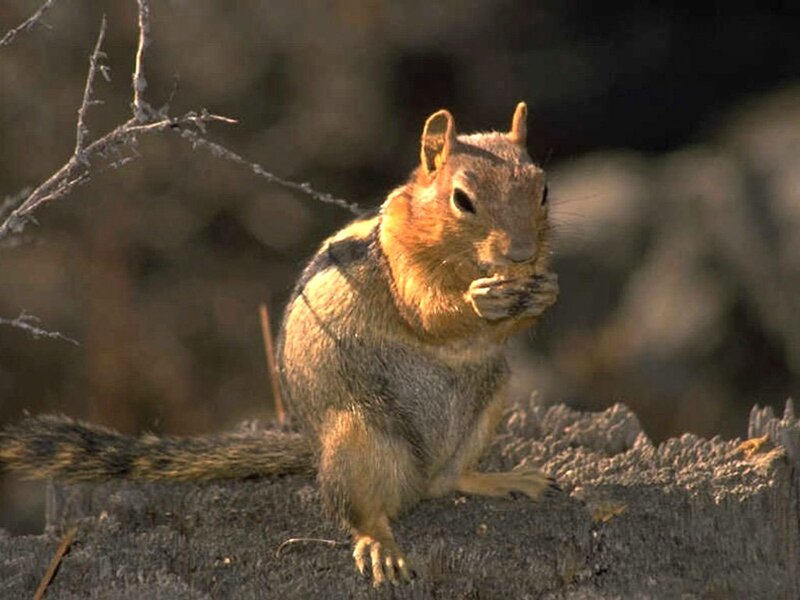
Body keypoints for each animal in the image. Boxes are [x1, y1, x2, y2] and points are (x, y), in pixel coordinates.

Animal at [0, 102, 559, 587]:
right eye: (462, 200)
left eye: (544, 190)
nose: (522, 254)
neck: (458, 256)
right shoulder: (400, 259)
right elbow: (426, 313)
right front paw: (478, 297)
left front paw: (545, 290)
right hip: (358, 435)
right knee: (359, 512)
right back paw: (380, 544)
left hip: (490, 403)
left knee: (451, 480)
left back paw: (500, 479)